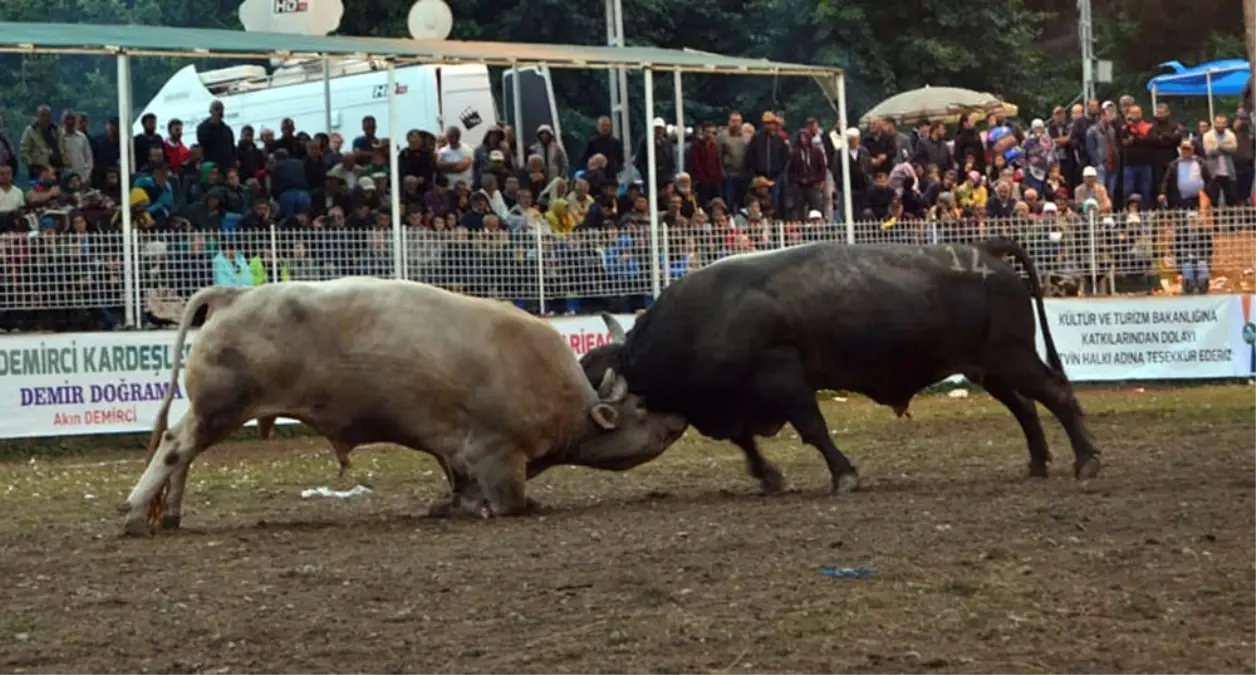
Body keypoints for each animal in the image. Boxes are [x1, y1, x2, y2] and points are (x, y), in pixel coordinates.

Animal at [118, 276, 688, 535]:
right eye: (641, 405)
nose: (680, 416)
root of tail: (233, 295)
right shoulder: (499, 454)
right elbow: (512, 501)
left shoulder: (456, 452)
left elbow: (457, 484)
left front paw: (450, 505)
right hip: (220, 407)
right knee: (176, 447)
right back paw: (134, 512)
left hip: (213, 408)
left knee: (183, 452)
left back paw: (171, 514)